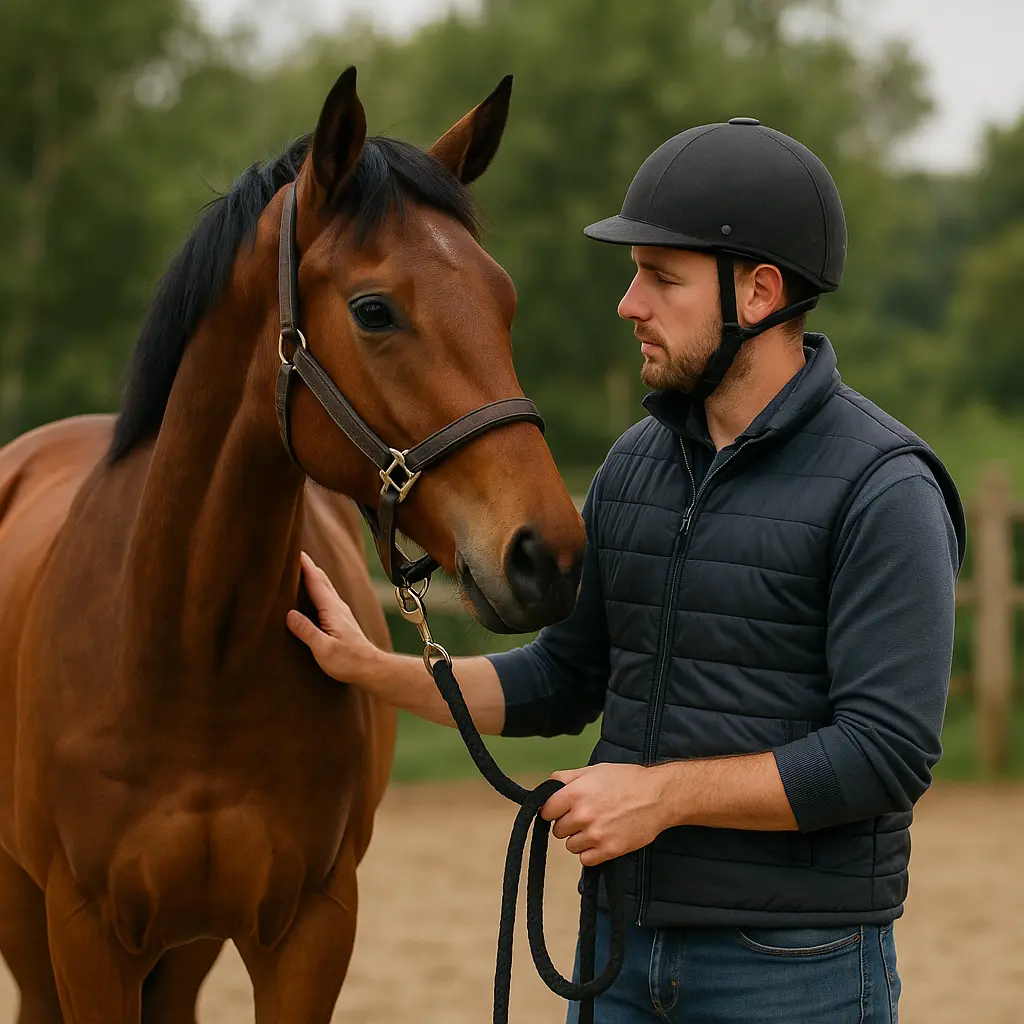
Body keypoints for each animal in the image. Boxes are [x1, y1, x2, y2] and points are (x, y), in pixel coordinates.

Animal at [0, 68, 585, 1023]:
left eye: (503, 302)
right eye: (374, 310)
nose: (551, 557)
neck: (191, 654)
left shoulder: (311, 926)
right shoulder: (86, 935)